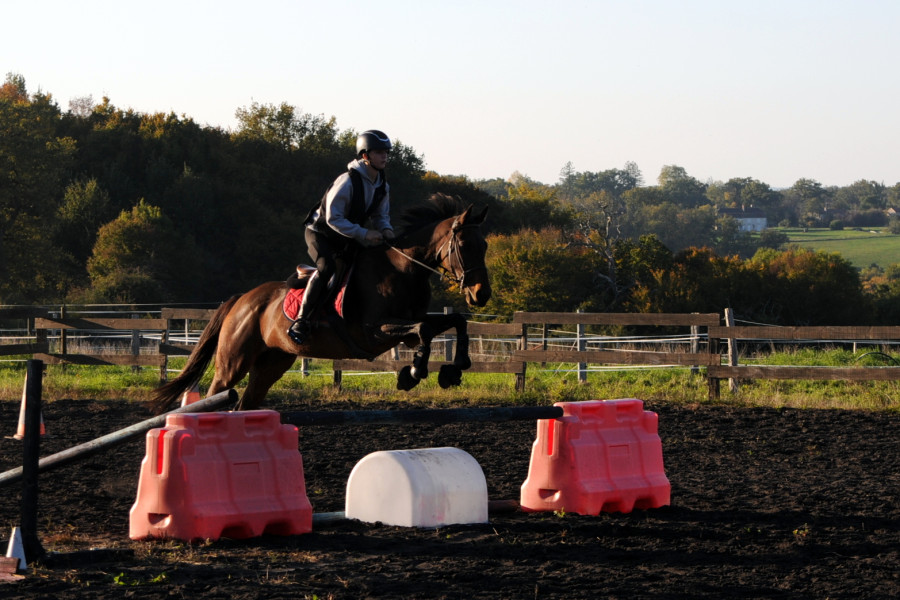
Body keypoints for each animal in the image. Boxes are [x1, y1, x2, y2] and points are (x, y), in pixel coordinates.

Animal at [151, 194, 491, 413]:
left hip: (272, 363)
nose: (481, 294)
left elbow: (454, 321)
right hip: (233, 362)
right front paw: (413, 373)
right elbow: (423, 330)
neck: (403, 268)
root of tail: (241, 299)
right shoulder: (374, 331)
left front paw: (454, 369)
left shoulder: (408, 323)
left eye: (485, 244)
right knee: (213, 396)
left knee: (245, 405)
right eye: (463, 245)